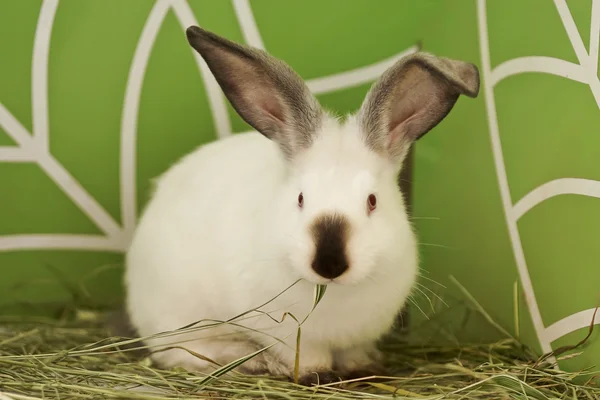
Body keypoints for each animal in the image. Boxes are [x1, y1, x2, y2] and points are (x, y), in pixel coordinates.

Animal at [124, 25, 480, 384]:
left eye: (372, 200)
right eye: (300, 198)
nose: (329, 262)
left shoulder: (359, 338)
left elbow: (354, 355)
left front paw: (363, 369)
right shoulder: (285, 333)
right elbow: (306, 359)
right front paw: (315, 375)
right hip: (179, 319)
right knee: (183, 352)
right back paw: (253, 361)